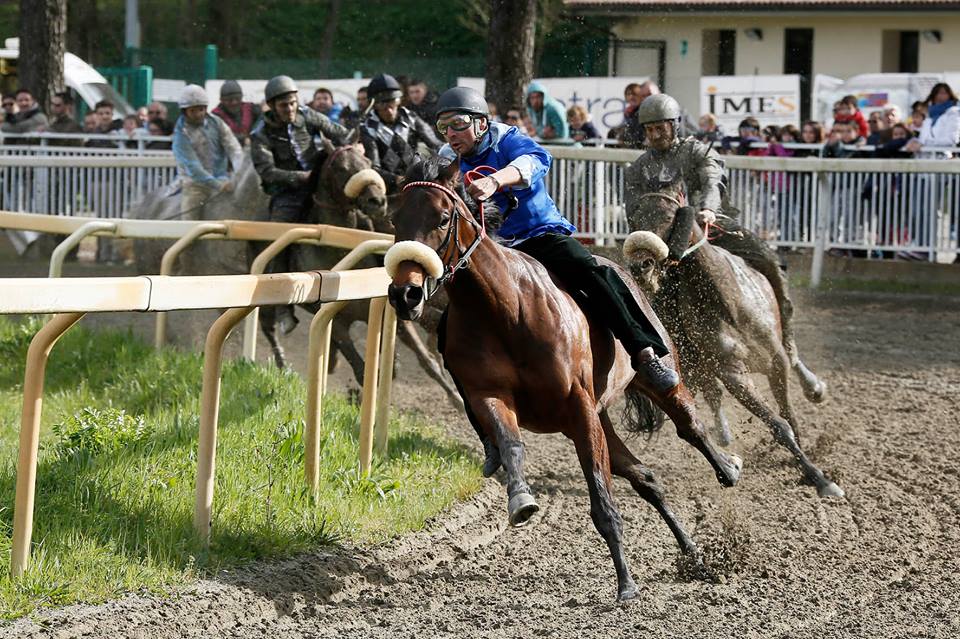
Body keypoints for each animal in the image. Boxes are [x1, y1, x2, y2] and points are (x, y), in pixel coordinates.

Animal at [384, 159, 744, 600]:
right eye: (396, 218)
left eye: (442, 217)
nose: (405, 294)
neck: (505, 308)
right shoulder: (491, 396)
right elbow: (510, 443)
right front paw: (520, 498)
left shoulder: (577, 404)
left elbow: (602, 498)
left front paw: (626, 584)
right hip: (600, 415)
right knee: (645, 477)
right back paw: (693, 554)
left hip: (649, 375)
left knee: (688, 424)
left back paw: (727, 467)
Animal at [624, 184, 840, 500]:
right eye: (634, 220)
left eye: (668, 215)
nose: (641, 265)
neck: (726, 303)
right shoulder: (732, 373)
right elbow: (778, 425)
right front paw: (817, 477)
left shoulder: (775, 361)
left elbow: (788, 414)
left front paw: (809, 466)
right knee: (711, 393)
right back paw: (723, 433)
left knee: (793, 351)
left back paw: (814, 386)